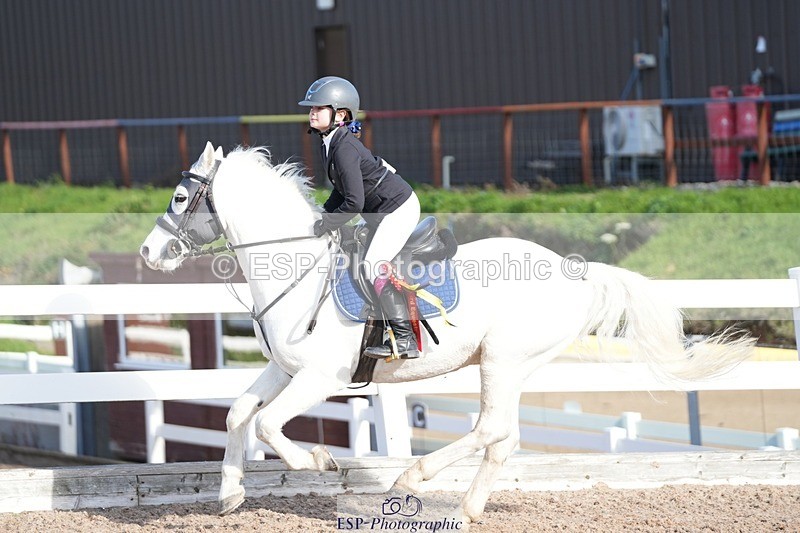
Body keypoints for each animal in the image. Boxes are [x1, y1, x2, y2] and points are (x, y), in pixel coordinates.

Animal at [140, 141, 754, 526]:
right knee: (504, 438)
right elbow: (238, 415)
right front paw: (230, 494)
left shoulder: (320, 377)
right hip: (513, 367)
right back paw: (466, 509)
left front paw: (321, 463)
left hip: (502, 361)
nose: (148, 253)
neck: (296, 267)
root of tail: (572, 270)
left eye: (180, 198)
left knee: (489, 429)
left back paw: (412, 479)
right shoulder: (281, 368)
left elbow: (268, 423)